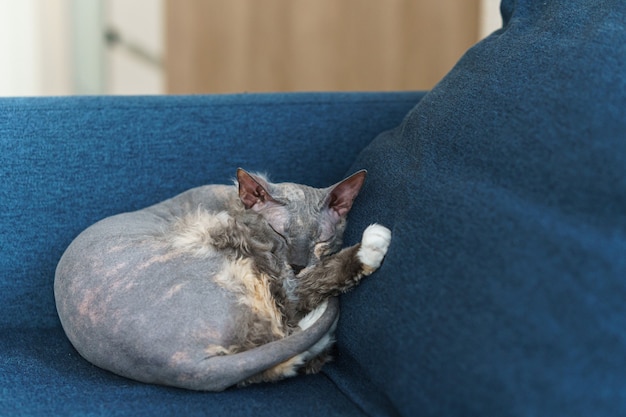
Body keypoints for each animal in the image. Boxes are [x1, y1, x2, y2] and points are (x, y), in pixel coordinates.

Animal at [56, 167, 392, 388]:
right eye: (279, 232)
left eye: (321, 240)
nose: (298, 264)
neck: (231, 200)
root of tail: (186, 365)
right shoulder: (275, 265)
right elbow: (301, 291)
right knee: (287, 324)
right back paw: (371, 246)